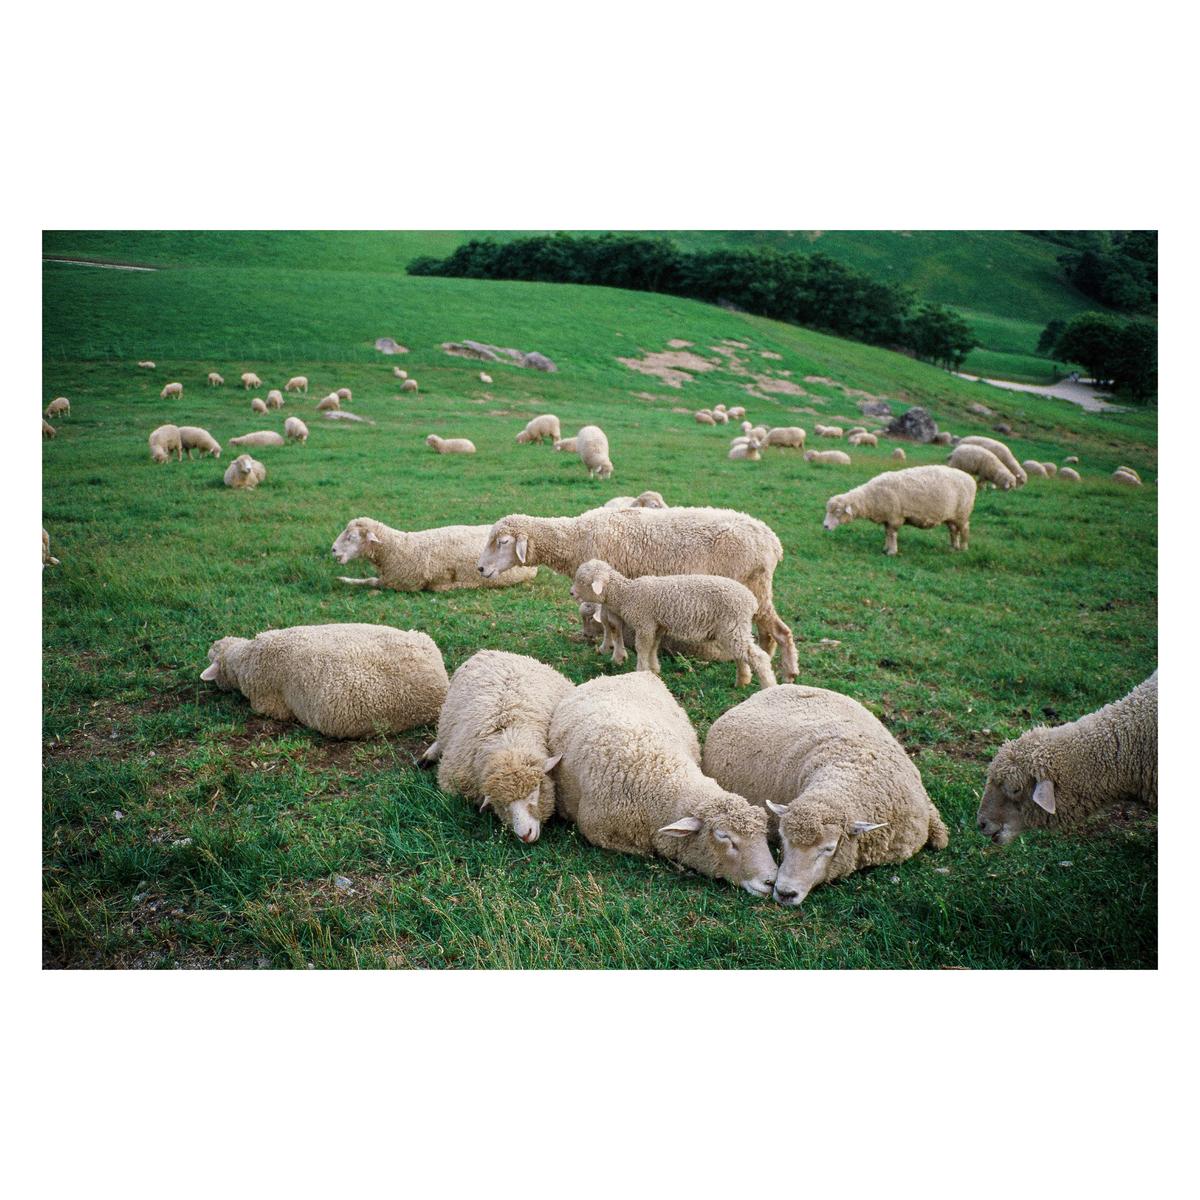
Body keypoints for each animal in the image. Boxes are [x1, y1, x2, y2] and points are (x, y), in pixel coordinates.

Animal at [332, 516, 537, 591]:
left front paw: (344, 579)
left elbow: (370, 581)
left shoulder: (403, 584)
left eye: (351, 537)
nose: (333, 549)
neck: (398, 548)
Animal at [571, 559, 776, 689]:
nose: (571, 593)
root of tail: (751, 600)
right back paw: (742, 681)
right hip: (733, 628)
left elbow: (642, 648)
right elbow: (653, 647)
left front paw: (641, 672)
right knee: (741, 654)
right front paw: (654, 670)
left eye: (582, 581)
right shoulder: (657, 625)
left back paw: (767, 686)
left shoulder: (644, 623)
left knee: (759, 657)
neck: (627, 594)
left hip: (733, 624)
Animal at [823, 464, 976, 555]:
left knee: (965, 529)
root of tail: (970, 478)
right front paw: (886, 548)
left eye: (837, 512)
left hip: (963, 513)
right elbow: (887, 533)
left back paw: (963, 548)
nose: (825, 526)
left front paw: (892, 551)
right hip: (952, 516)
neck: (871, 497)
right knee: (953, 530)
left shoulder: (895, 517)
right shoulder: (887, 519)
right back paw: (953, 547)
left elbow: (892, 534)